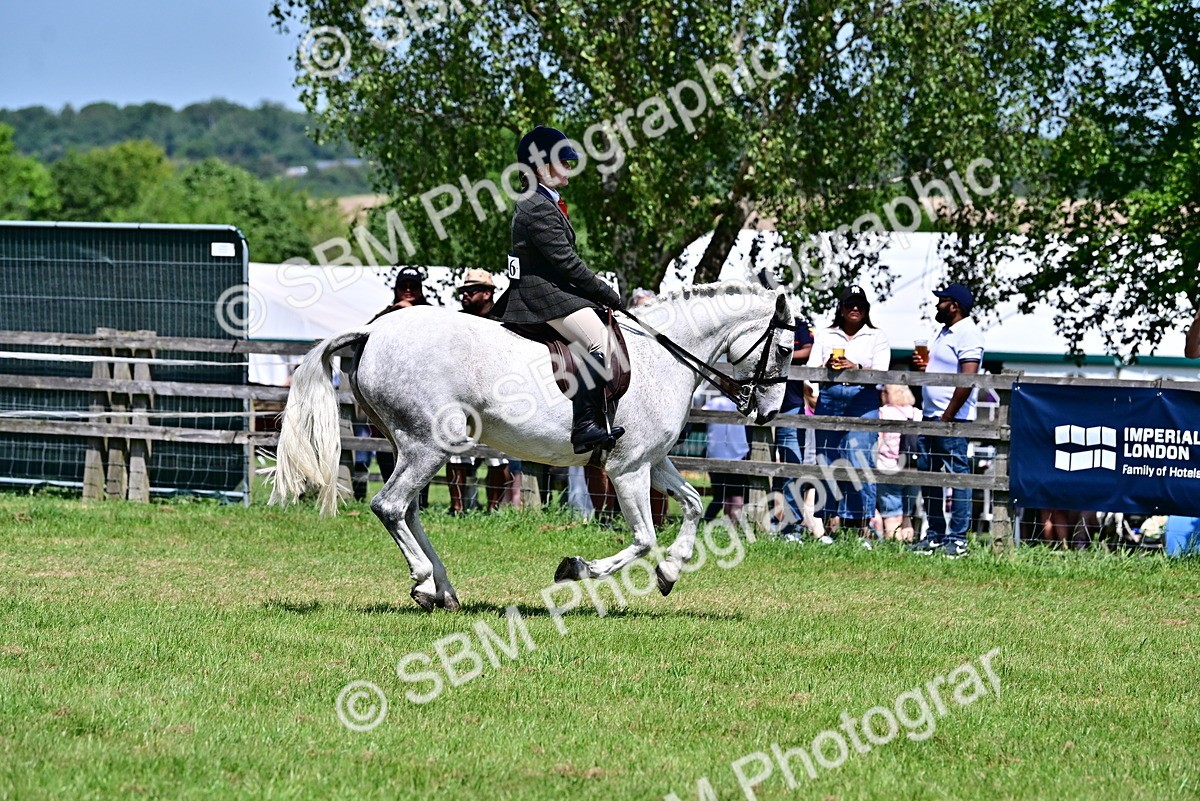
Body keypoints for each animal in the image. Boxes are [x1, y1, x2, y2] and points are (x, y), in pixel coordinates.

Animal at [268, 281, 796, 611]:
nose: (768, 414)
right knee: (389, 505)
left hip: (411, 446)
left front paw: (670, 572)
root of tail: (373, 330)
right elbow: (644, 537)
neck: (661, 356)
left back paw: (444, 590)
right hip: (429, 445)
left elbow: (690, 505)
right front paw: (575, 567)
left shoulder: (652, 459)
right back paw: (423, 583)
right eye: (788, 348)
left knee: (408, 510)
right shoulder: (626, 468)